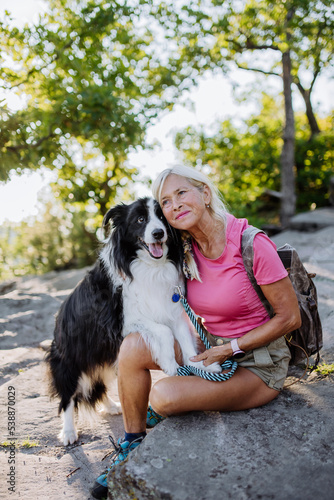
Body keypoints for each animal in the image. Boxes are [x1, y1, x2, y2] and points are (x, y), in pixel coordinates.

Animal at [45, 197, 220, 444]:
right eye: (140, 219)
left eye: (162, 217)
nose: (158, 233)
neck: (149, 266)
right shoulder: (120, 321)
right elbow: (164, 332)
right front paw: (170, 364)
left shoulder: (173, 308)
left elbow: (186, 341)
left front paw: (201, 365)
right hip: (72, 356)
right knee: (68, 394)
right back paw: (69, 432)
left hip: (104, 354)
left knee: (97, 383)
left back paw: (111, 406)